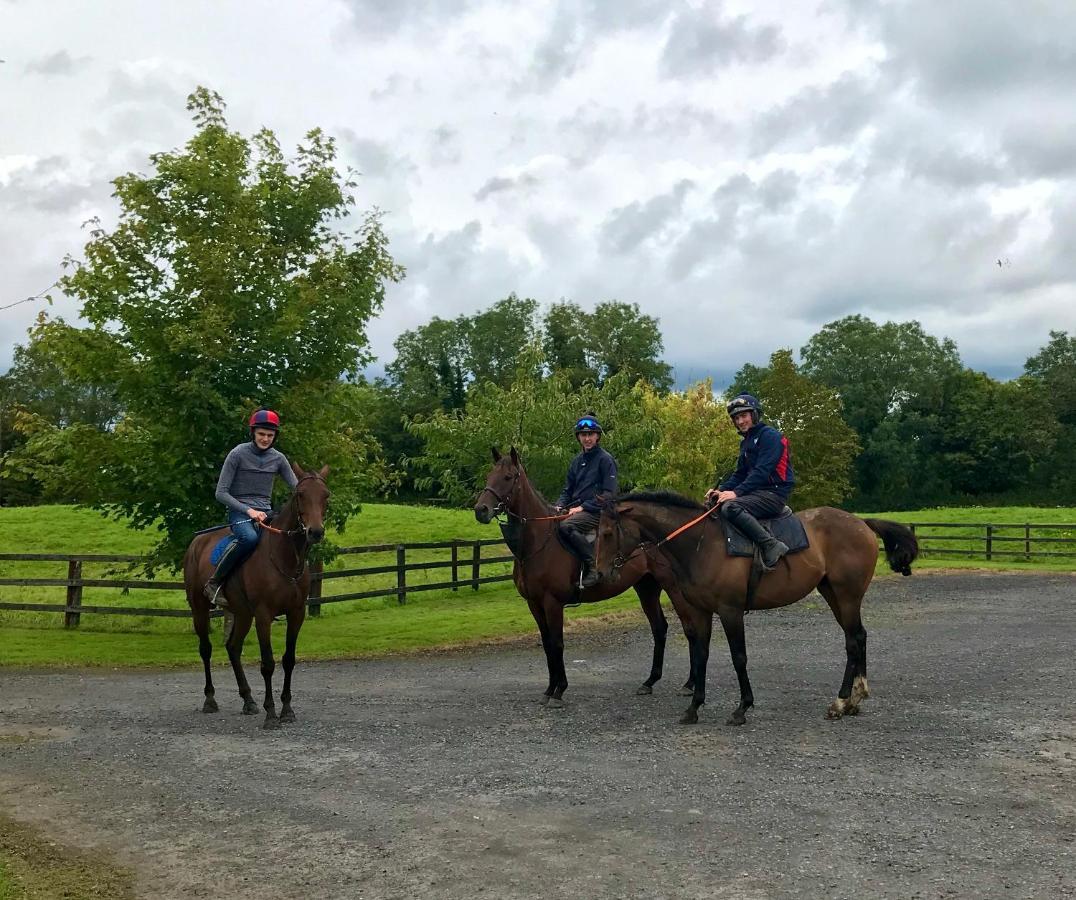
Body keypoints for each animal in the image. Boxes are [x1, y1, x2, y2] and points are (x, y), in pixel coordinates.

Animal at [183, 467, 327, 727]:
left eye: (326, 495)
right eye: (300, 494)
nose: (316, 531)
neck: (283, 558)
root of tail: (197, 543)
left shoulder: (297, 613)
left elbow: (289, 659)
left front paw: (287, 710)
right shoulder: (263, 615)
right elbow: (267, 663)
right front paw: (271, 713)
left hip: (241, 613)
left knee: (233, 647)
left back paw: (248, 700)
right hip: (199, 608)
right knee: (206, 649)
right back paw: (210, 699)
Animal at [473, 445, 684, 706]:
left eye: (508, 477)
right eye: (489, 476)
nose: (481, 510)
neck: (540, 542)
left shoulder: (552, 602)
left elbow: (557, 643)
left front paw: (559, 690)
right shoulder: (534, 604)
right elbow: (546, 645)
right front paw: (549, 689)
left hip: (672, 587)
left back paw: (689, 684)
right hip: (646, 588)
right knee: (659, 628)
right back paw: (649, 681)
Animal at [593, 495, 921, 727]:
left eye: (607, 533)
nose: (598, 575)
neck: (702, 545)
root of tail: (860, 523)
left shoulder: (730, 611)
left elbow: (739, 657)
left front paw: (742, 708)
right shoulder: (700, 611)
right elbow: (700, 655)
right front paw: (694, 707)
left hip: (847, 596)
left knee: (853, 642)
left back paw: (840, 703)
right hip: (833, 594)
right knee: (859, 637)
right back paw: (855, 699)